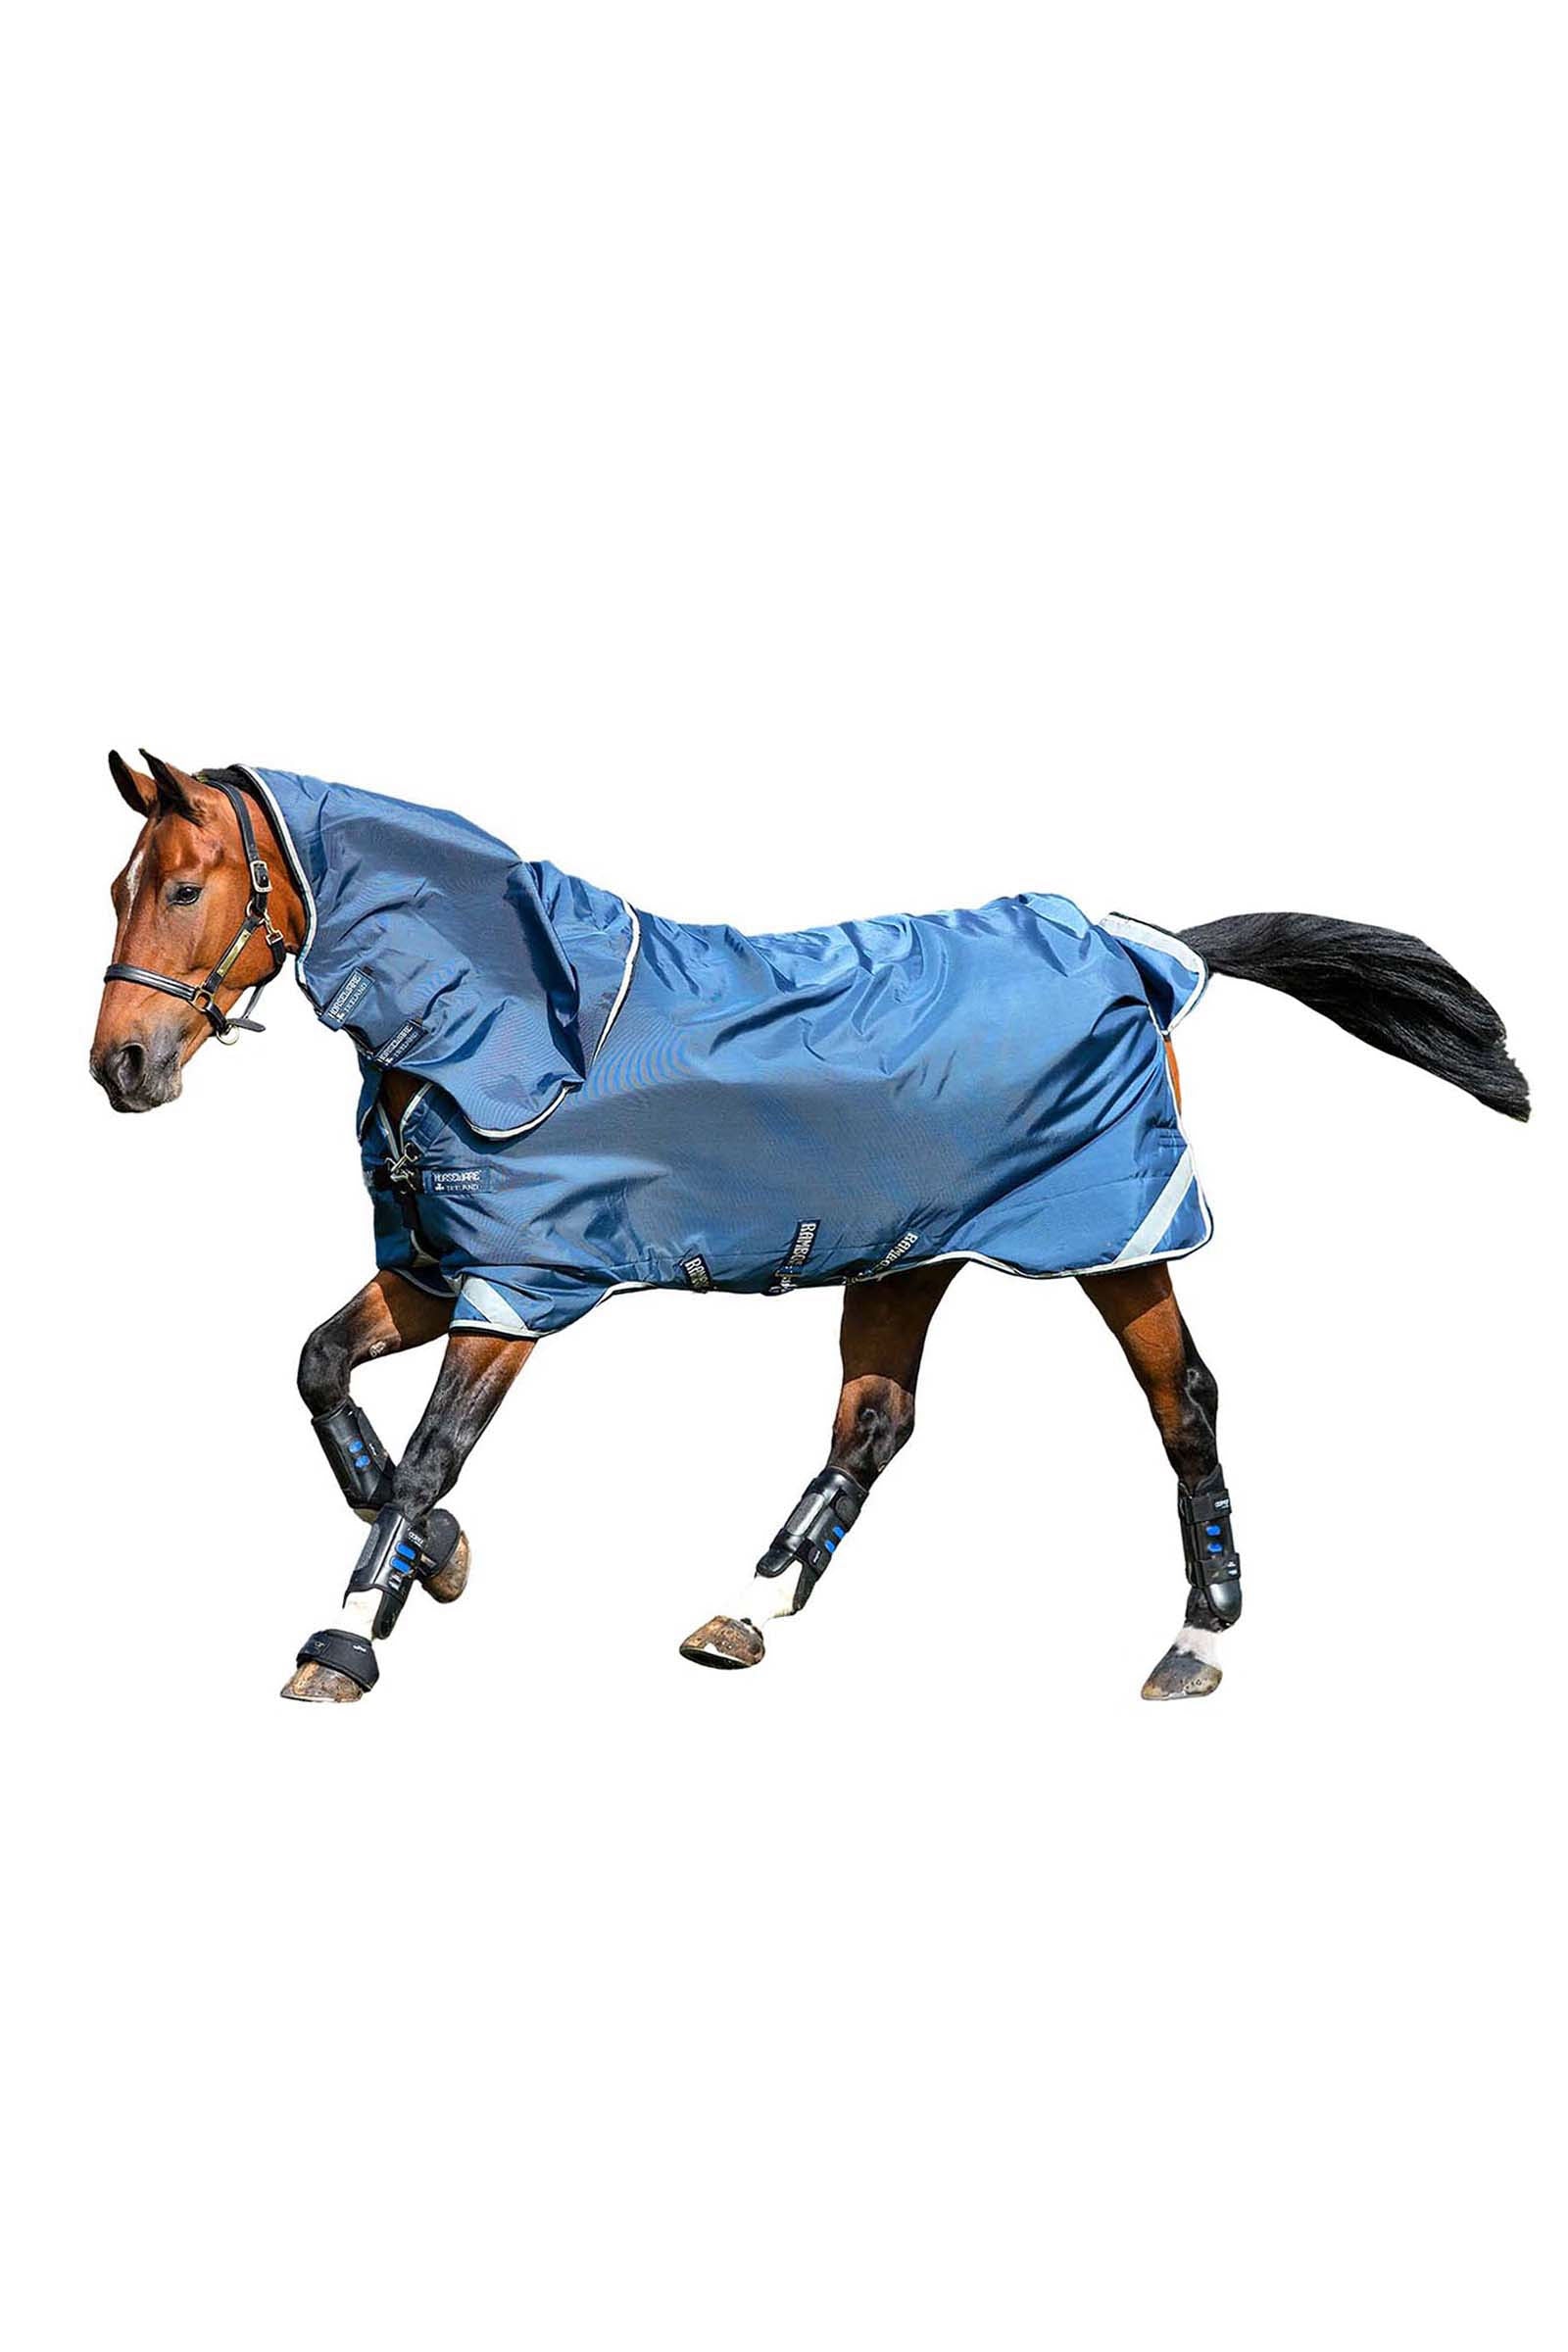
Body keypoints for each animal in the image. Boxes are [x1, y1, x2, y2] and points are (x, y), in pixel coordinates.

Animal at [90, 751, 1529, 1705]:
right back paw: (749, 1607)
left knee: (1184, 1399)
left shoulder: (520, 1288)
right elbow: (320, 1370)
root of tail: (1146, 952)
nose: (123, 1065)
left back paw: (1198, 1637)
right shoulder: (447, 1270)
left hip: (1110, 1238)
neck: (497, 1016)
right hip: (910, 1250)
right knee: (876, 1420)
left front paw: (346, 1635)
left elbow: (434, 1456)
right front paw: (434, 1563)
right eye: (120, 885)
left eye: (185, 887)